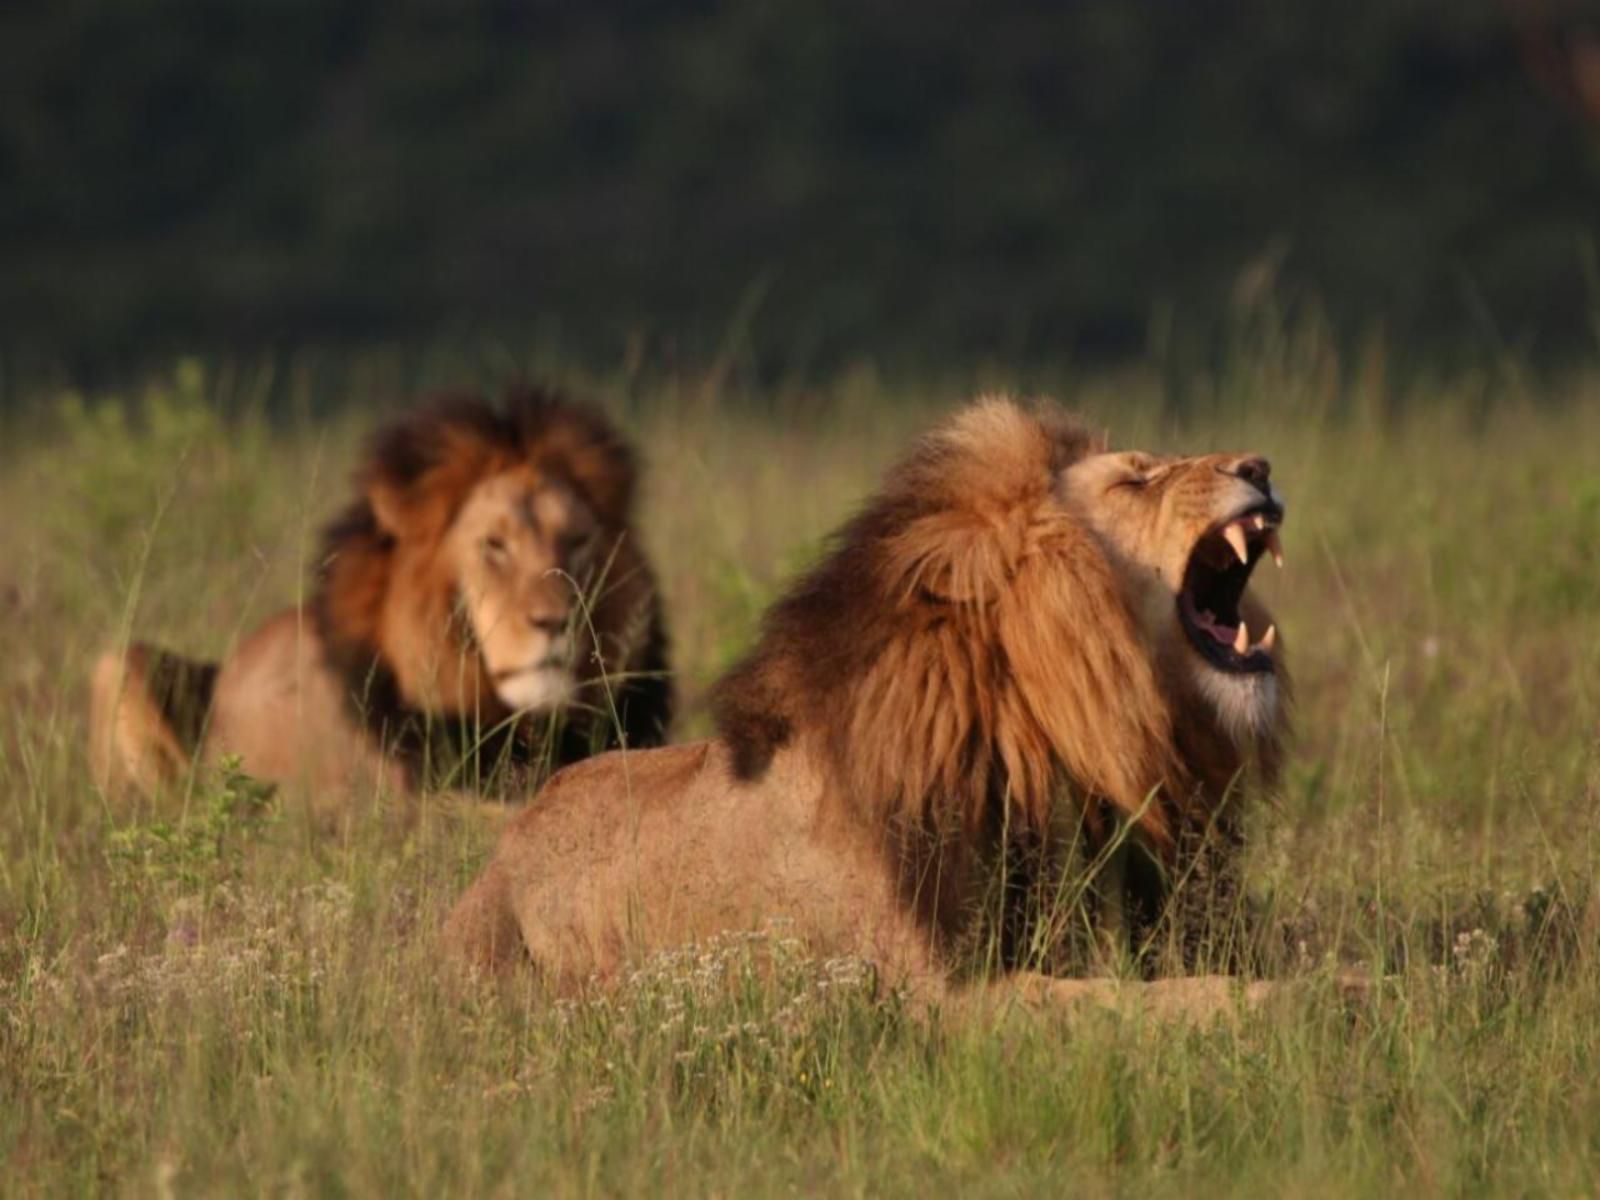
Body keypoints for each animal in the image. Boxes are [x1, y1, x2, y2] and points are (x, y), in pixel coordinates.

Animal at [444, 396, 1292, 1004]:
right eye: (1136, 479)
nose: (1261, 464)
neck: (1051, 736)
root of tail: (502, 847)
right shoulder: (935, 989)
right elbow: (1136, 1005)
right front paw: (1294, 1006)